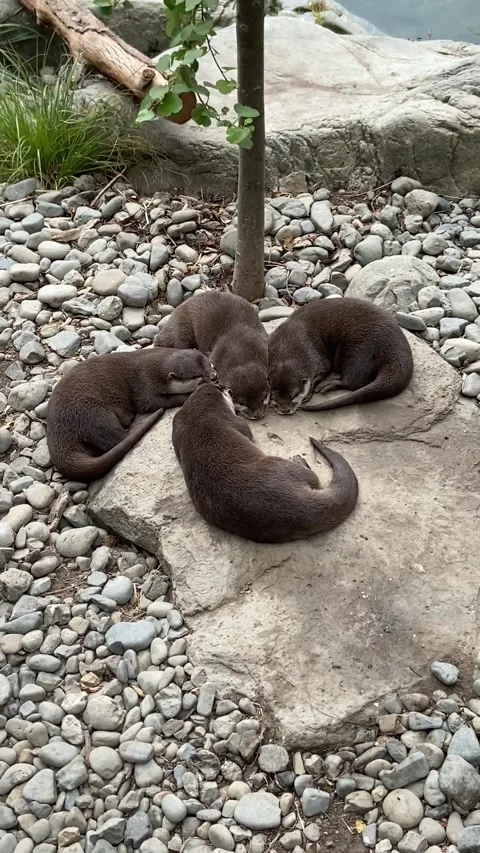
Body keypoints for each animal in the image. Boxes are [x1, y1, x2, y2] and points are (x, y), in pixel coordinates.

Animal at [47, 347, 215, 482]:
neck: (153, 365)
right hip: (93, 414)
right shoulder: (145, 383)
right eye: (197, 376)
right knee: (116, 438)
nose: (214, 376)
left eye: (209, 363)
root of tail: (58, 433)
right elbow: (152, 402)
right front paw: (191, 393)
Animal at [172, 383, 358, 543]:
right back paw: (298, 459)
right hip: (278, 464)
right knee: (313, 477)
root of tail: (293, 507)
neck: (198, 411)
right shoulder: (235, 421)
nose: (229, 390)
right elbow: (247, 432)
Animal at [268, 297, 414, 414]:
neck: (287, 344)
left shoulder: (316, 358)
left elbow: (322, 373)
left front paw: (309, 392)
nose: (285, 410)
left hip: (359, 349)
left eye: (294, 396)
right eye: (273, 397)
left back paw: (328, 385)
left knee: (355, 381)